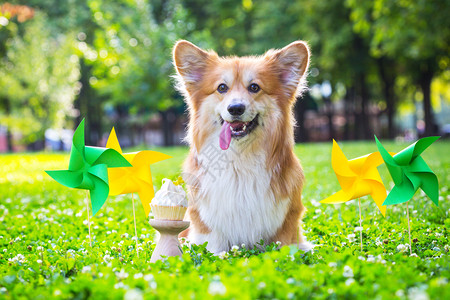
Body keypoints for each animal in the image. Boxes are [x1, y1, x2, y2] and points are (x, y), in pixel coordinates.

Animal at [173, 39, 312, 253]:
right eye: (222, 88)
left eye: (254, 87)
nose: (236, 108)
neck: (240, 159)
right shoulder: (207, 224)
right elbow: (214, 246)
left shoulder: (287, 219)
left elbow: (284, 244)